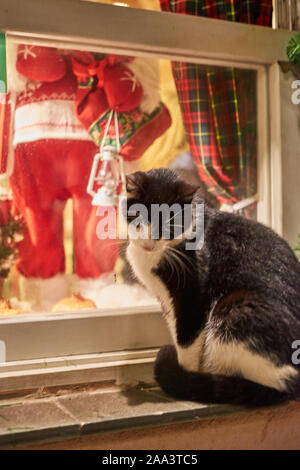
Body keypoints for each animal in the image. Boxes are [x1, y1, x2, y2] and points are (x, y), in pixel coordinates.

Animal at [123, 169, 300, 408]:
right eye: (139, 218)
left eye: (168, 225)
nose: (148, 244)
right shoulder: (167, 302)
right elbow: (176, 331)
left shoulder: (193, 297)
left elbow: (187, 340)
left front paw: (184, 375)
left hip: (236, 308)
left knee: (276, 382)